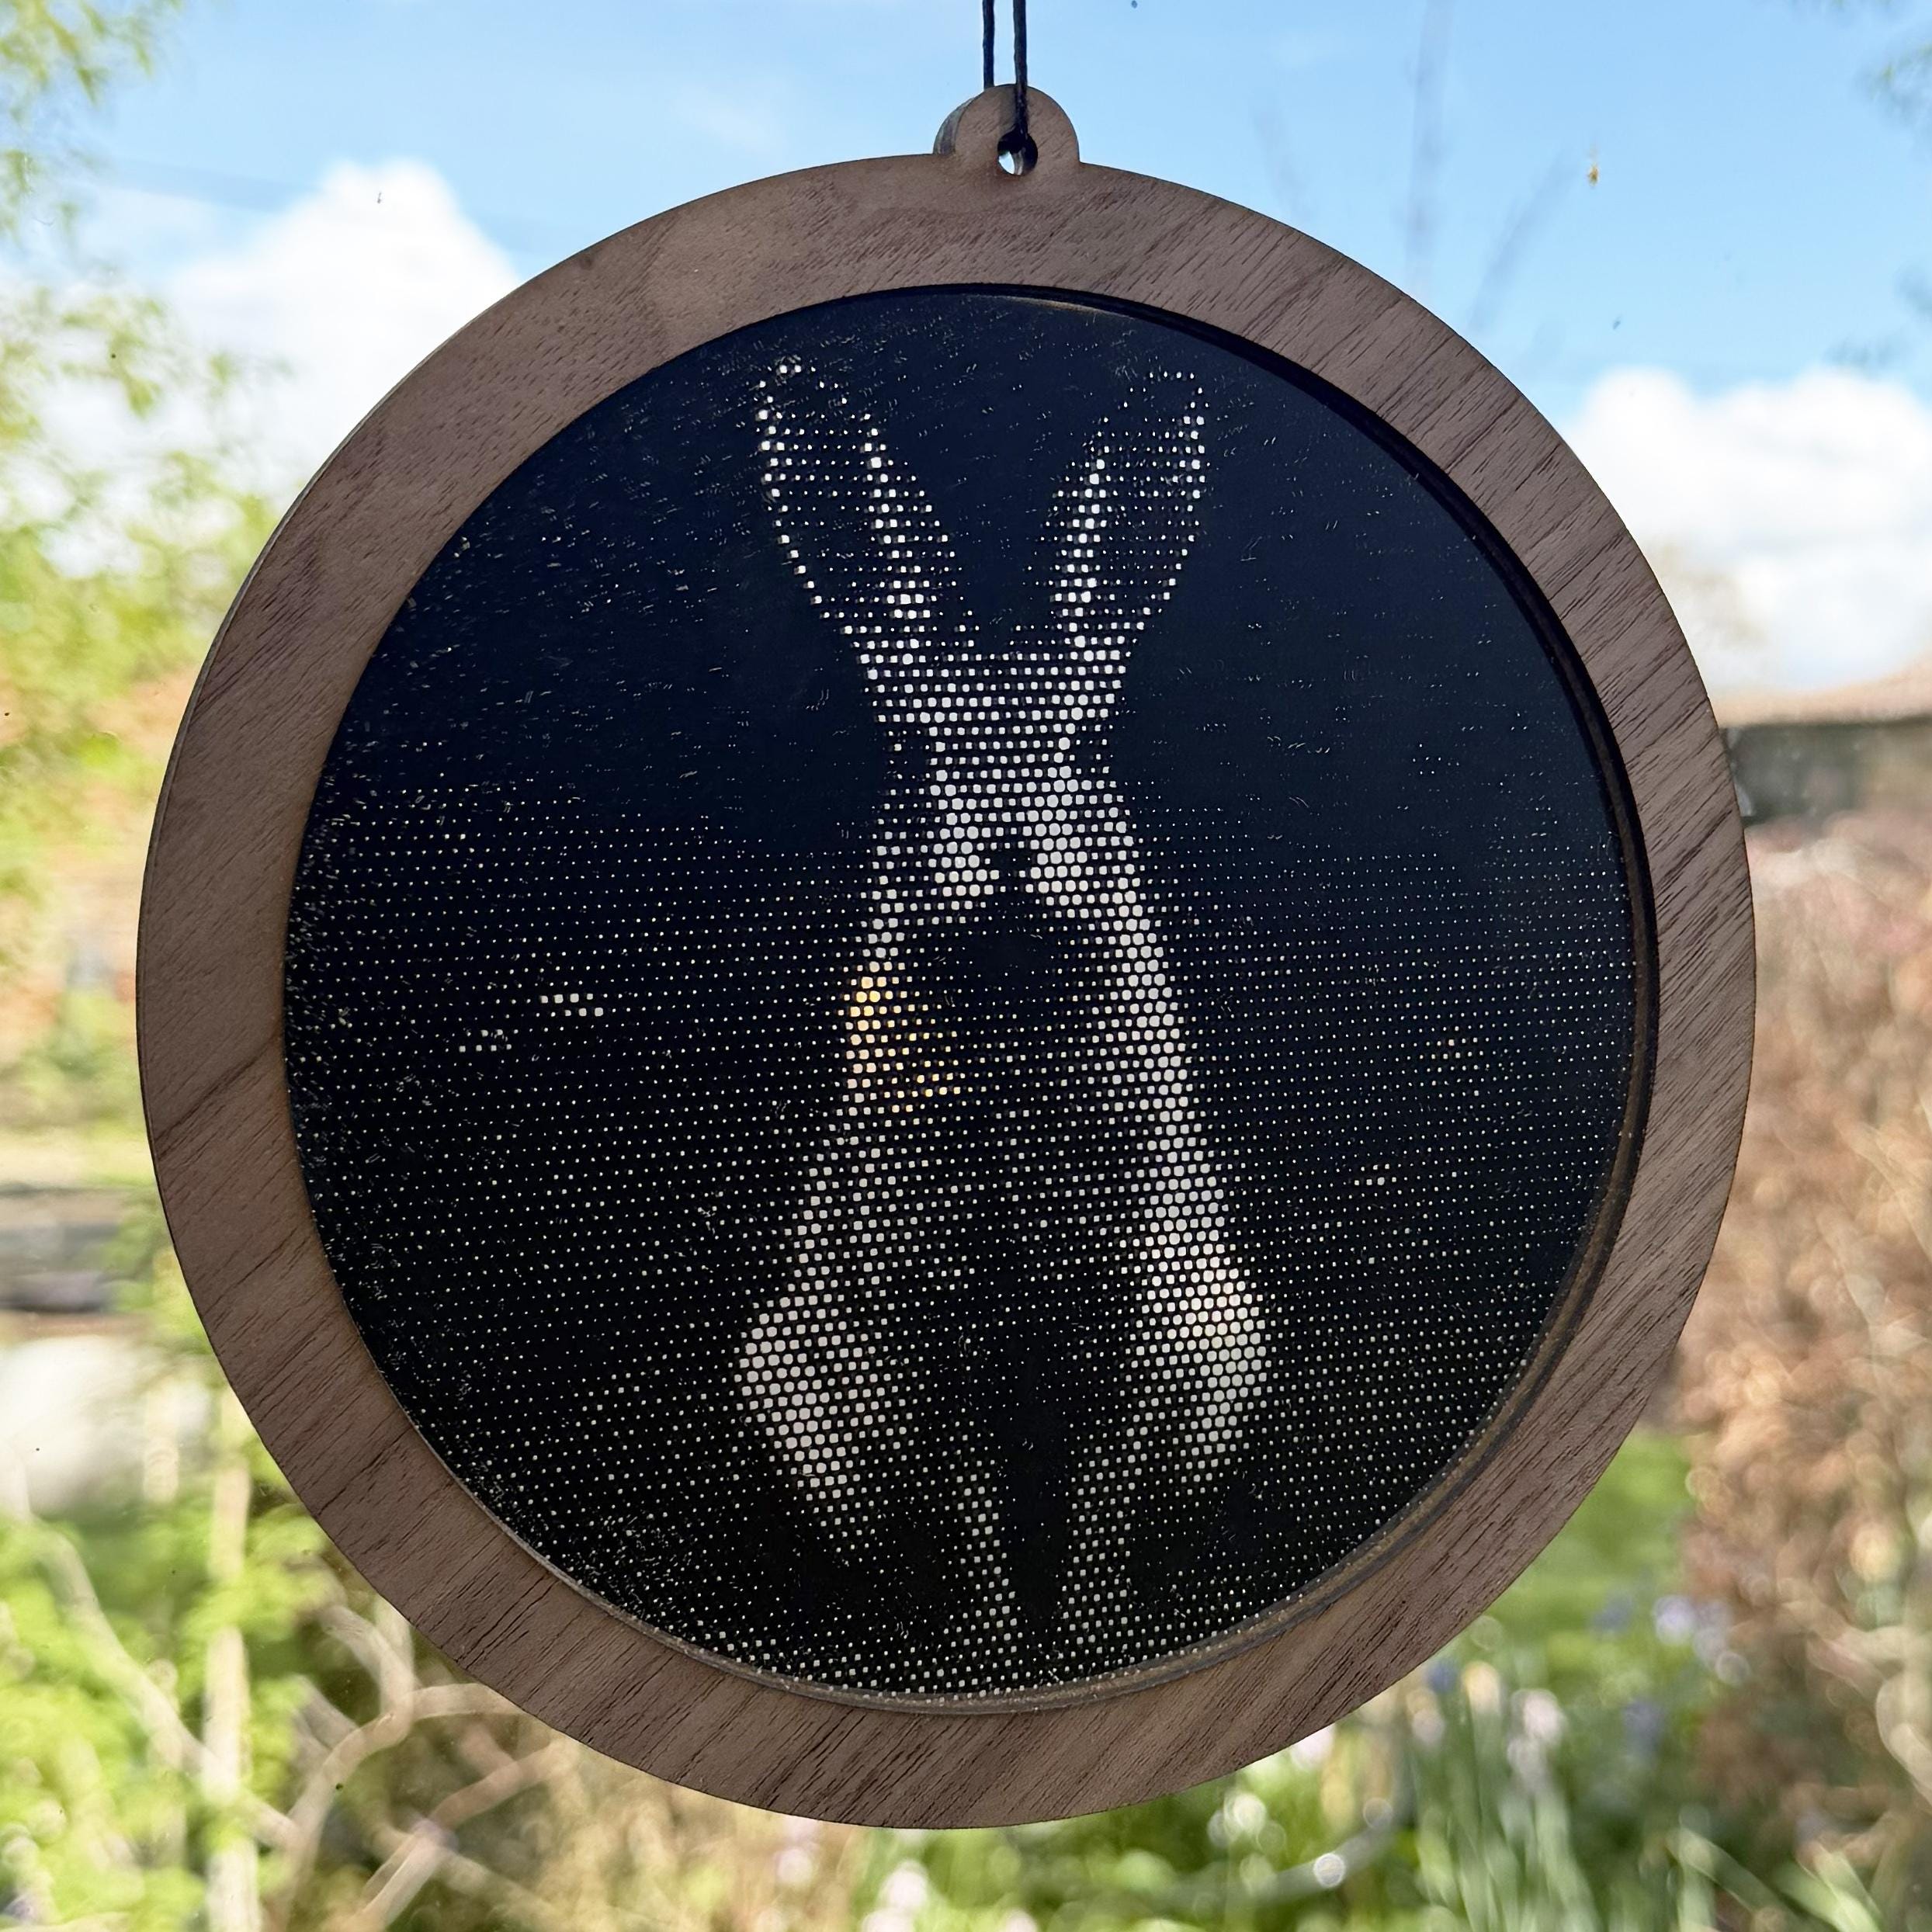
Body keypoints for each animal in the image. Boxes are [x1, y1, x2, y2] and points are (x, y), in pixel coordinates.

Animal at [737, 358, 1266, 1678]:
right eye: (918, 751)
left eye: (1082, 743)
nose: (1011, 853)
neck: (1013, 985)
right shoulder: (934, 1343)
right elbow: (970, 1505)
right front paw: (997, 1645)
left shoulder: (1135, 1327)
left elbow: (1103, 1494)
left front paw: (1091, 1636)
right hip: (797, 1403)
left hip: (1227, 1351)